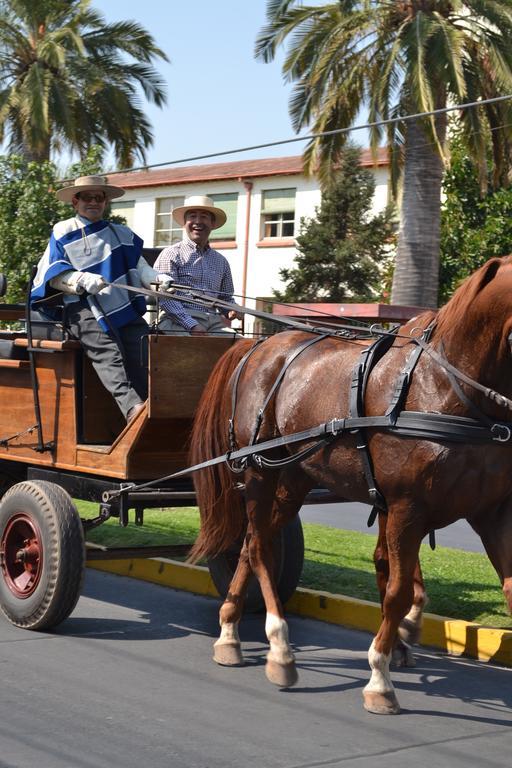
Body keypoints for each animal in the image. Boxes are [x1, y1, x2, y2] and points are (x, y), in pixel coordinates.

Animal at [190, 256, 512, 712]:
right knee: (261, 549)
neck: (449, 388)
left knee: (252, 542)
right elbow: (396, 590)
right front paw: (380, 676)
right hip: (259, 472)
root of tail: (256, 347)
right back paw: (278, 646)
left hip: (293, 477)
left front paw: (397, 643)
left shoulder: (492, 512)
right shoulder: (407, 508)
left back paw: (231, 632)